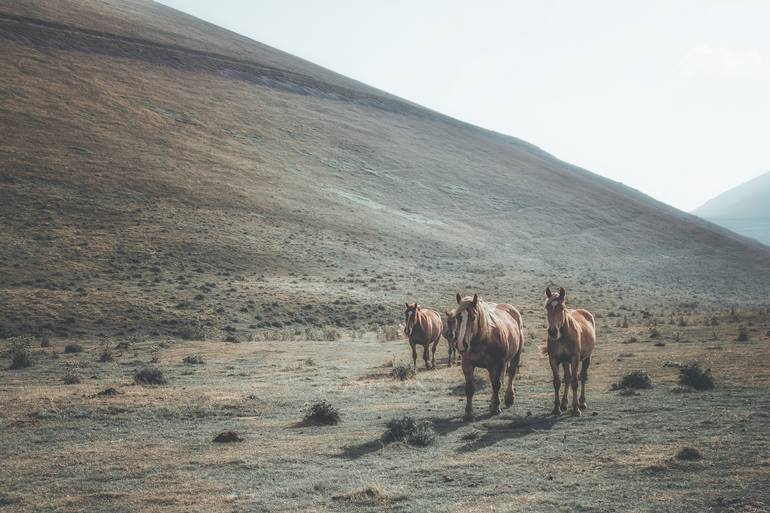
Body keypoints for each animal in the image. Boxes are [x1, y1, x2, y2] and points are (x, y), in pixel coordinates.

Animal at [444, 292, 520, 420]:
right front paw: (468, 413)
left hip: (515, 356)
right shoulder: (467, 364)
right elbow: (470, 388)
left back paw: (508, 398)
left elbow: (496, 385)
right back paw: (492, 403)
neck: (483, 339)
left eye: (473, 317)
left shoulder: (499, 363)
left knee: (511, 375)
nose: (461, 344)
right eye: (458, 317)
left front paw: (496, 408)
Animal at [540, 288, 592, 416]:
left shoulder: (574, 359)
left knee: (583, 377)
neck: (563, 336)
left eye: (561, 308)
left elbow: (575, 382)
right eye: (547, 307)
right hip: (565, 361)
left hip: (586, 358)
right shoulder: (554, 360)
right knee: (567, 378)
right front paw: (556, 408)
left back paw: (582, 402)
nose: (552, 332)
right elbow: (557, 382)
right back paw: (564, 404)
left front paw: (576, 409)